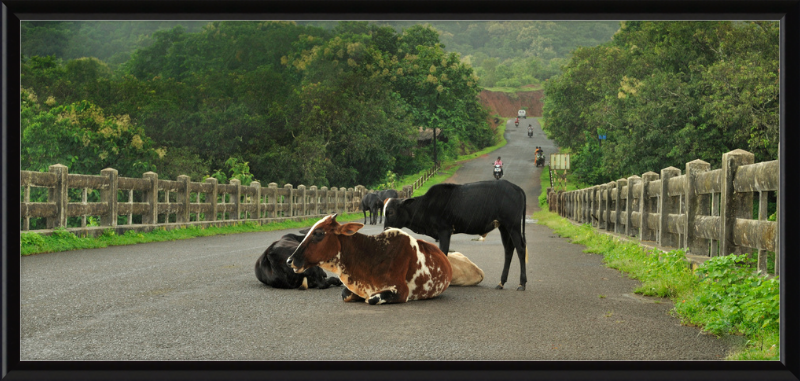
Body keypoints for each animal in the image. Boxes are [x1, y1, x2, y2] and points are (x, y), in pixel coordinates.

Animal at [382, 180, 528, 290]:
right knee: (509, 250)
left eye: (391, 212)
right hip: (504, 227)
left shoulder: (445, 231)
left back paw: (522, 283)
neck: (426, 205)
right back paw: (501, 282)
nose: (385, 229)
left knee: (521, 249)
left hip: (513, 225)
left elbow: (443, 253)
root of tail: (516, 188)